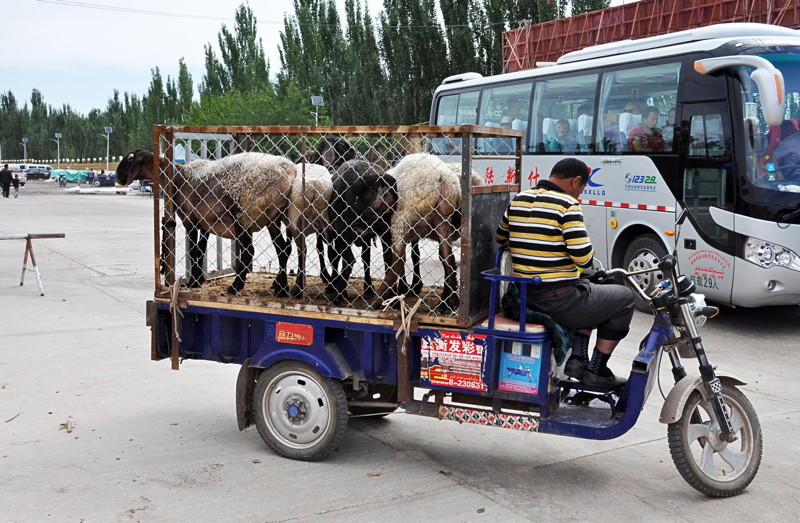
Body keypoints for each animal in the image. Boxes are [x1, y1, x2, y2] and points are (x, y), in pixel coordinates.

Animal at [115, 149, 296, 296]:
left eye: (130, 158)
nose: (118, 177)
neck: (177, 176)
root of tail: (287, 169)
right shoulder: (205, 223)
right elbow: (201, 250)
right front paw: (198, 280)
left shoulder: (190, 218)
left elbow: (193, 251)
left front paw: (193, 282)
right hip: (274, 216)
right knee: (283, 249)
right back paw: (281, 288)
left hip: (245, 213)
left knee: (249, 252)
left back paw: (235, 287)